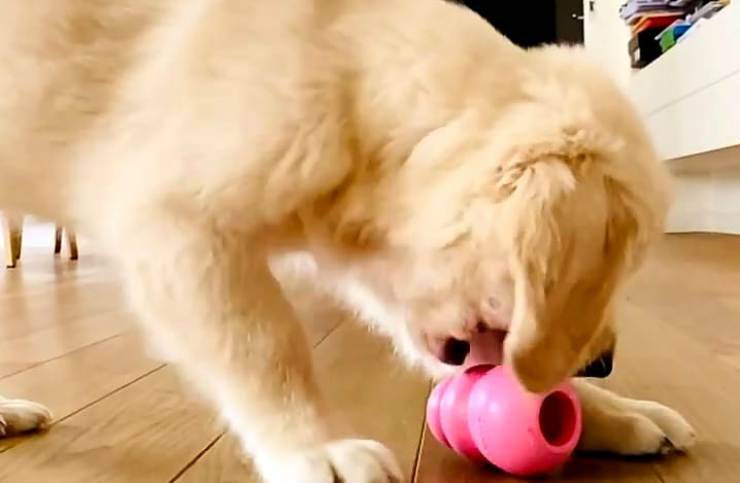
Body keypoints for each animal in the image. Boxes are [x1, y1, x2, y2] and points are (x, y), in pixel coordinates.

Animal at [0, 0, 692, 480]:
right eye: (606, 272)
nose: (603, 363)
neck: (348, 79)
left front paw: (616, 413)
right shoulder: (176, 222)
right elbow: (266, 346)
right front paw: (317, 448)